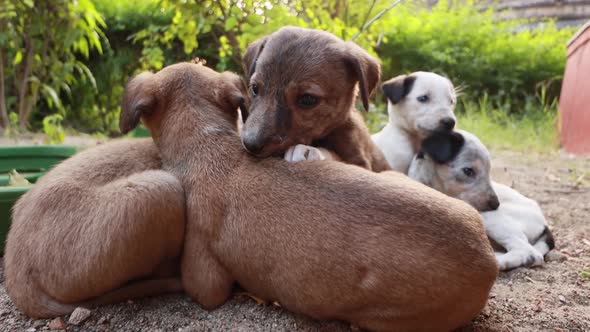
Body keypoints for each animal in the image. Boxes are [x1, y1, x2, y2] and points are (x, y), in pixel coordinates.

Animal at [240, 26, 394, 171]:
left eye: (307, 99)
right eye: (254, 88)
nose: (250, 145)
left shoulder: (362, 163)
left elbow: (337, 157)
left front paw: (310, 151)